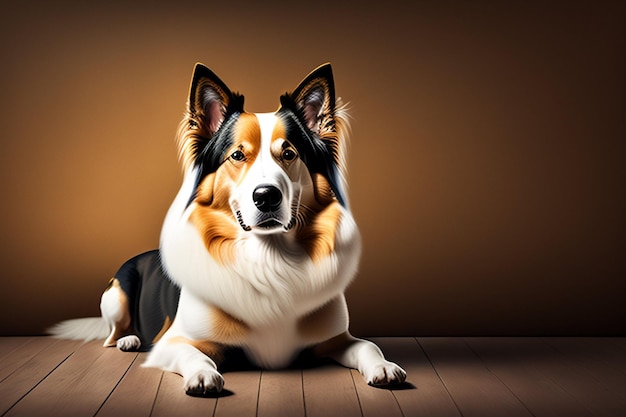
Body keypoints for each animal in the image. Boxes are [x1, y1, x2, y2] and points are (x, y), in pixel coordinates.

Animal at [51, 63, 408, 394]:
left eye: (289, 153)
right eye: (237, 155)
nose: (266, 196)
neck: (268, 258)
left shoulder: (337, 338)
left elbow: (367, 345)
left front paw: (384, 366)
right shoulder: (174, 342)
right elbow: (195, 354)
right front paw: (202, 375)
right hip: (116, 297)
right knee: (111, 335)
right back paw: (129, 340)